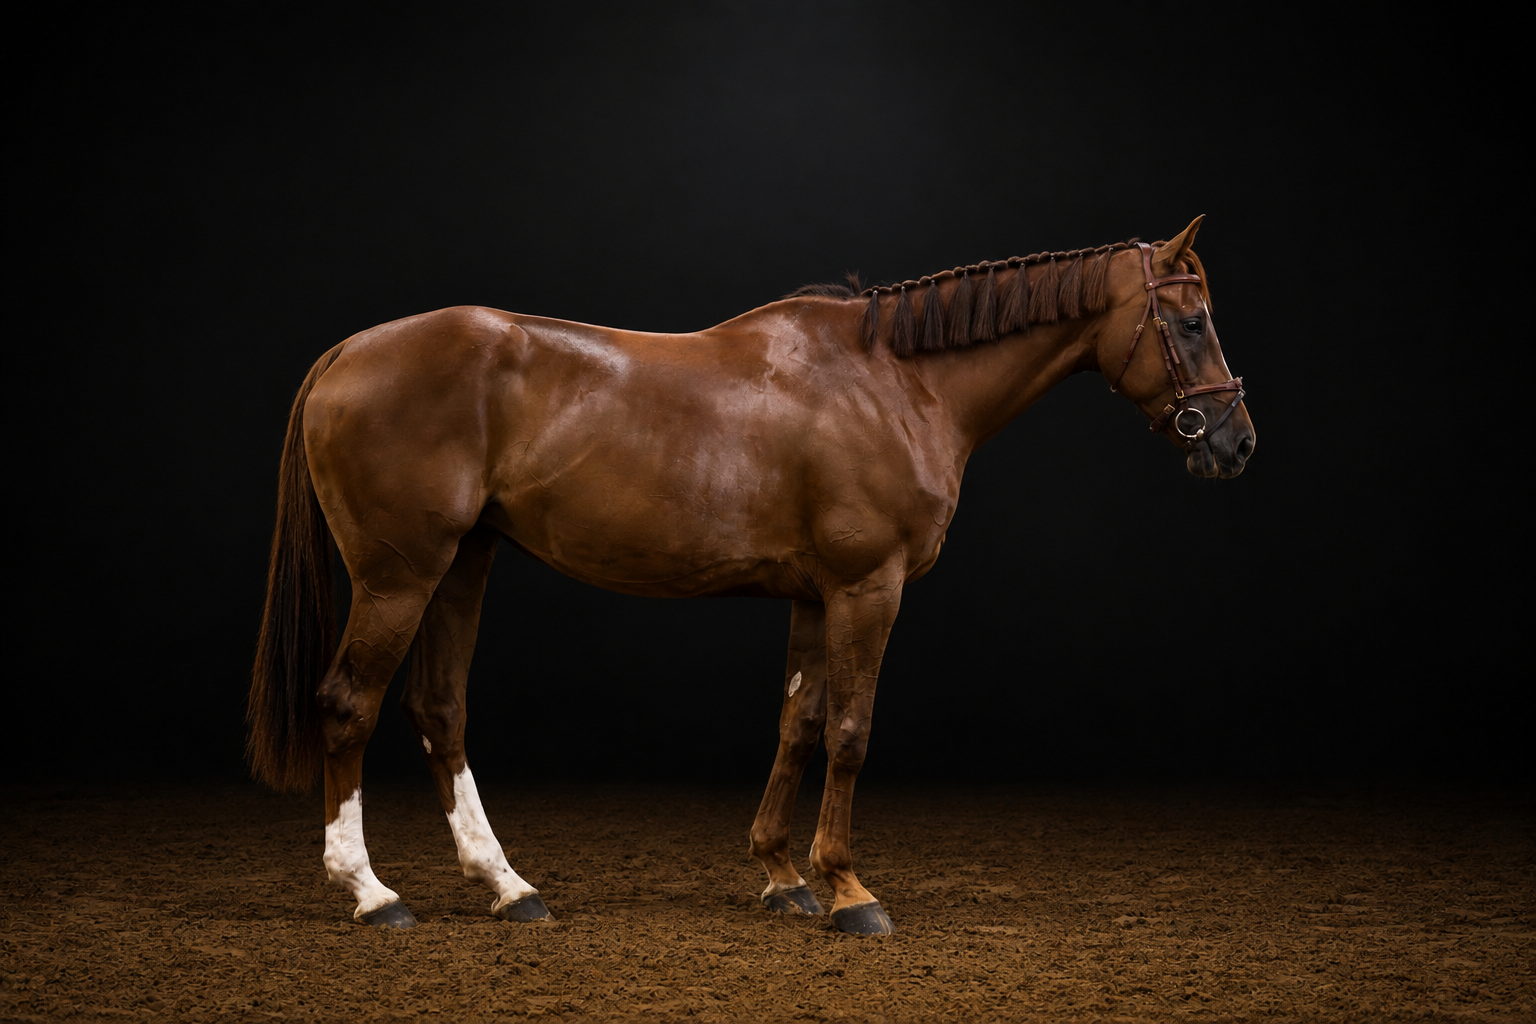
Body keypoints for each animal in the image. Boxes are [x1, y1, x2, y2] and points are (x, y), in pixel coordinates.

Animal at [247, 215, 1253, 935]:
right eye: (1191, 320)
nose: (1236, 442)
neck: (894, 382)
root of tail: (349, 352)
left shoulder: (814, 595)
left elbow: (797, 726)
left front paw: (782, 875)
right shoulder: (867, 587)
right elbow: (849, 731)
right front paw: (849, 892)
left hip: (463, 565)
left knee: (440, 711)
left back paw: (509, 886)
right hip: (399, 576)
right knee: (348, 703)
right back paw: (373, 893)